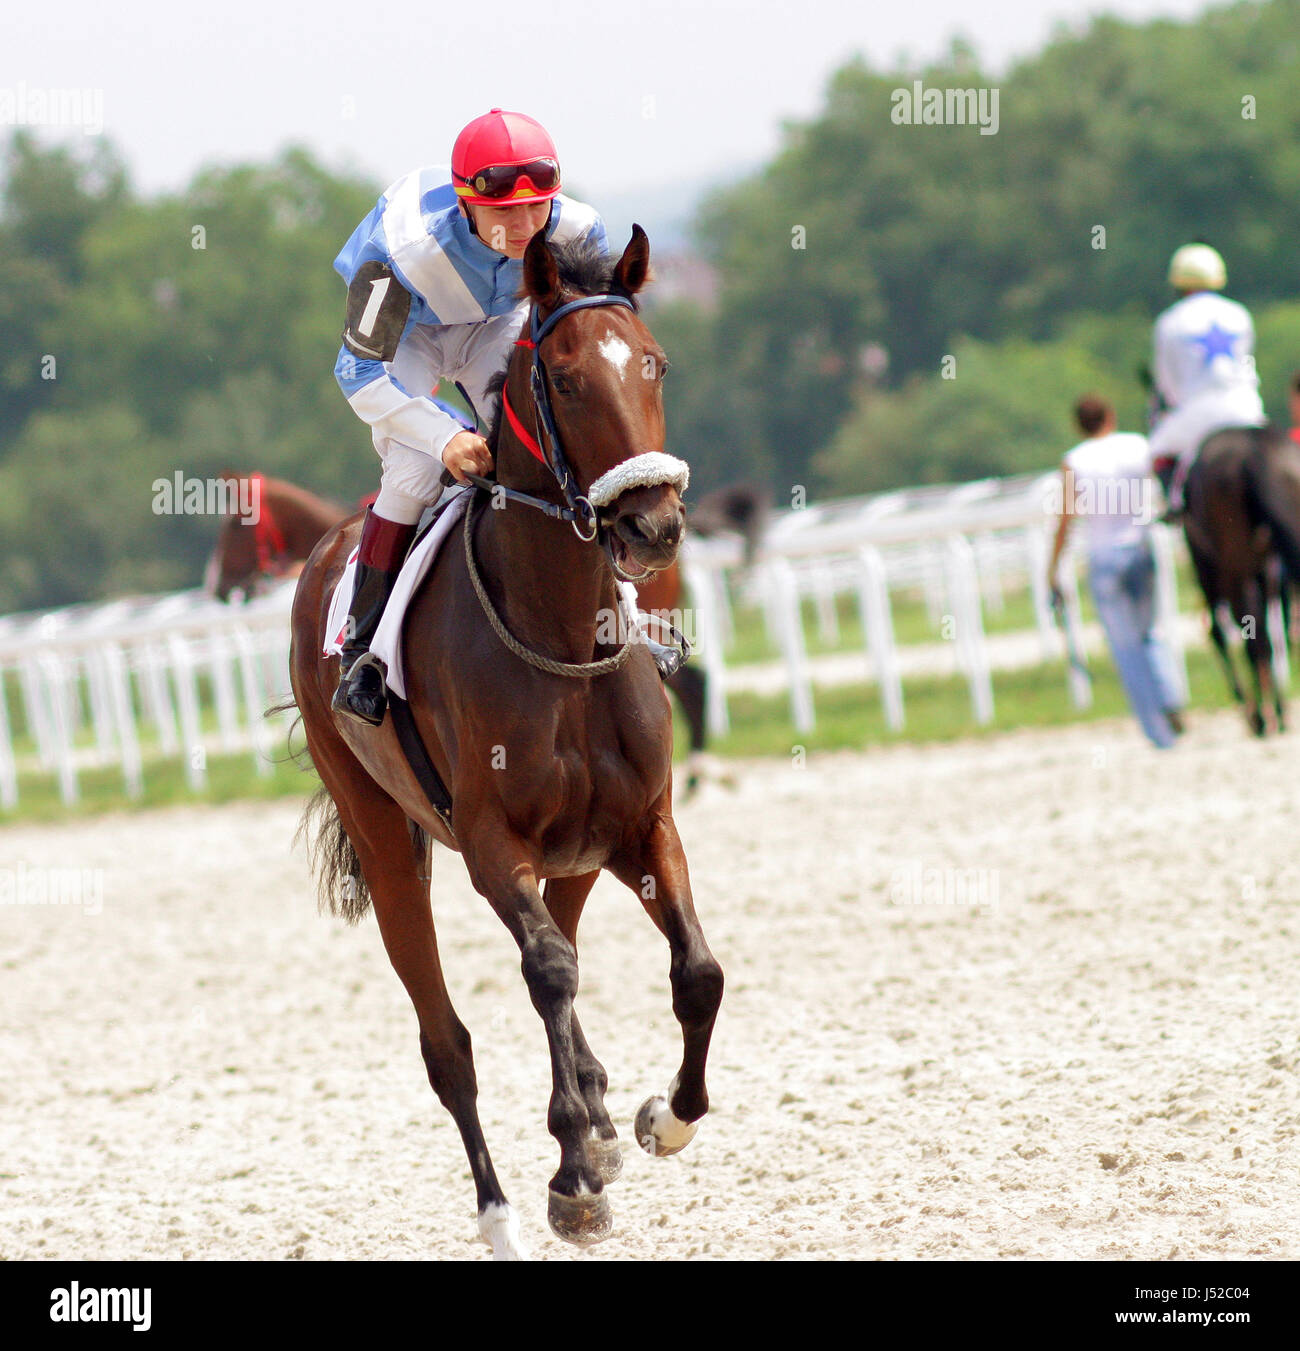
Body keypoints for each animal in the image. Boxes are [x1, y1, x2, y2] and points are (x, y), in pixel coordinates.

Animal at [287, 227, 724, 1259]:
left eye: (655, 361)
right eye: (564, 378)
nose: (653, 524)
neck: (561, 636)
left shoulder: (642, 826)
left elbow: (696, 972)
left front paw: (660, 1118)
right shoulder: (493, 847)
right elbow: (548, 977)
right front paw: (571, 1178)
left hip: (577, 855)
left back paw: (599, 1118)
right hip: (391, 847)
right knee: (450, 1041)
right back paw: (502, 1211)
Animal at [1182, 423, 1300, 735]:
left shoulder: (1213, 571)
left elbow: (1223, 635)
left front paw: (1255, 710)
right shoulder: (1269, 571)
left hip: (1230, 569)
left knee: (1245, 637)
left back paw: (1260, 714)